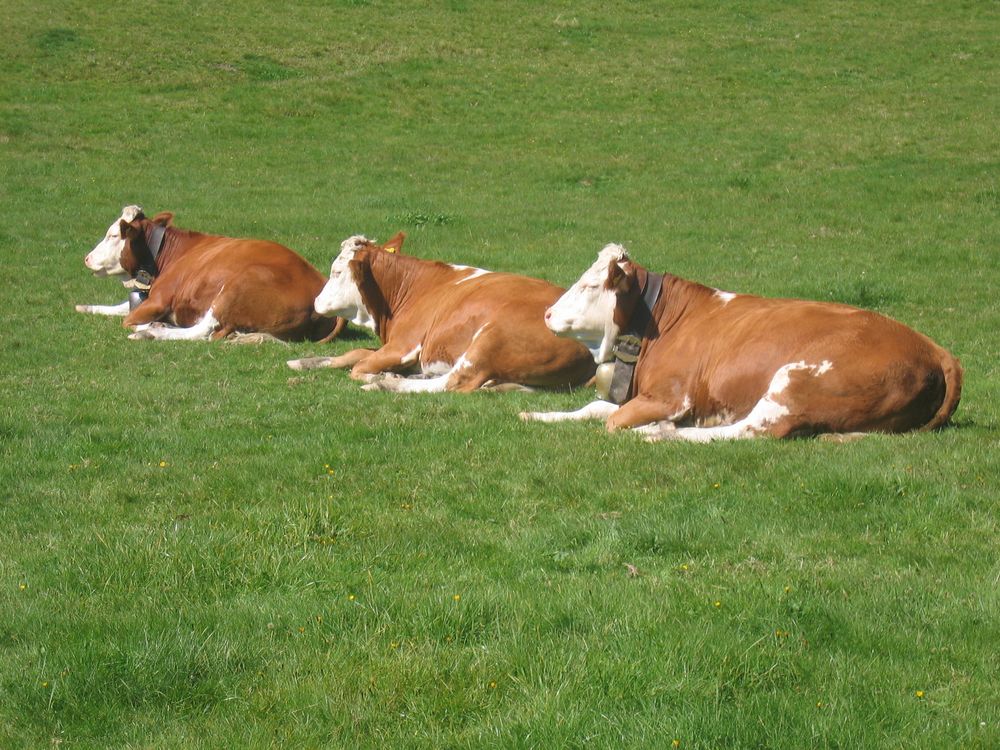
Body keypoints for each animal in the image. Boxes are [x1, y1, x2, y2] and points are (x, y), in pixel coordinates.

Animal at [79, 209, 344, 344]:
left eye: (113, 235)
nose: (87, 258)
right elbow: (120, 307)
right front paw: (86, 307)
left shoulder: (158, 300)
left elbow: (128, 318)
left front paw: (149, 324)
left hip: (236, 287)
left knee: (203, 331)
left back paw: (154, 331)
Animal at [284, 234, 592, 394]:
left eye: (336, 271)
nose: (316, 300)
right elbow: (356, 353)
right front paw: (303, 362)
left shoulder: (404, 345)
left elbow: (360, 366)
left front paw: (378, 377)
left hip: (491, 338)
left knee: (454, 382)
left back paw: (388, 383)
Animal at [516, 244, 960, 440]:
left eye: (591, 285)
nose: (548, 313)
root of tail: (933, 348)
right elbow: (592, 408)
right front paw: (537, 415)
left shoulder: (670, 395)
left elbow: (611, 421)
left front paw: (656, 426)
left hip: (793, 382)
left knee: (752, 430)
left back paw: (664, 433)